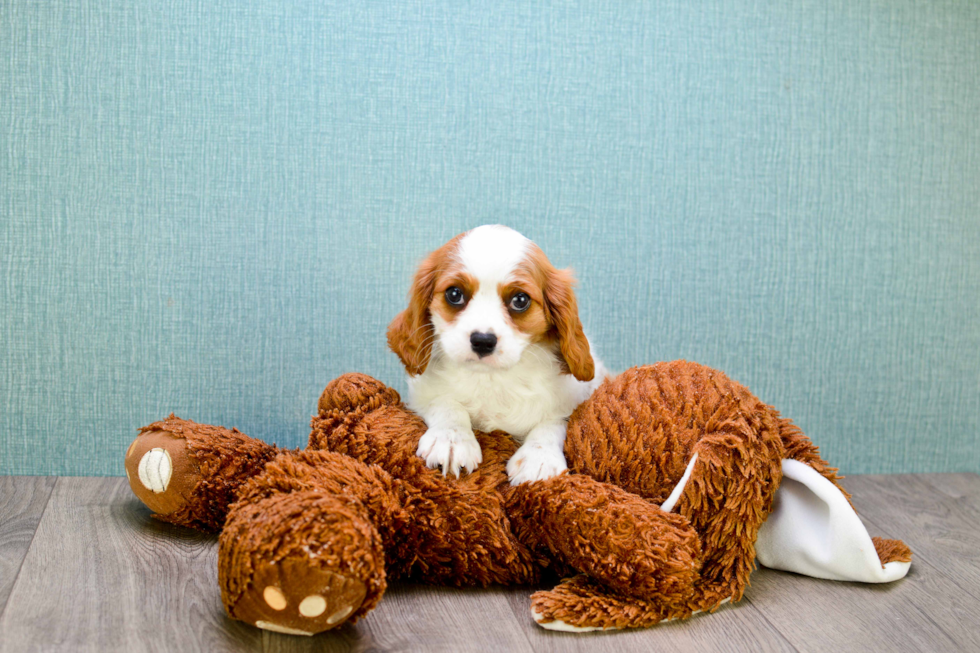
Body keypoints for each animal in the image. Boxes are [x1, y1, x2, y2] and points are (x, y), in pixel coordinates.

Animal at [384, 224, 604, 484]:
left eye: (520, 300)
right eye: (454, 294)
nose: (482, 340)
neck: (492, 377)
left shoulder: (574, 399)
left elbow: (554, 422)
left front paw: (538, 458)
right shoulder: (421, 396)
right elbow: (446, 403)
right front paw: (451, 439)